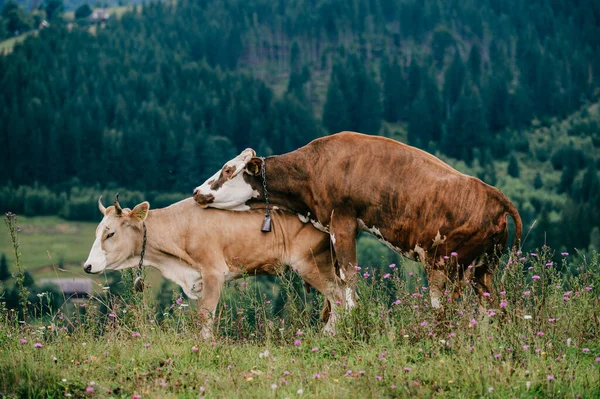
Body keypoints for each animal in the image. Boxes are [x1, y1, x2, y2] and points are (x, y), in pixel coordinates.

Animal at [84, 197, 346, 338]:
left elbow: (206, 315)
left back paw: (329, 334)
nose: (87, 266)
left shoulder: (213, 273)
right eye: (96, 232)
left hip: (311, 264)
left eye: (110, 233)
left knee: (340, 297)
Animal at [192, 131, 520, 310]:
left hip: (448, 265)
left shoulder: (343, 222)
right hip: (484, 268)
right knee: (491, 309)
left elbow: (348, 277)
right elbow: (338, 279)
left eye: (227, 170)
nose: (196, 191)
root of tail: (494, 195)